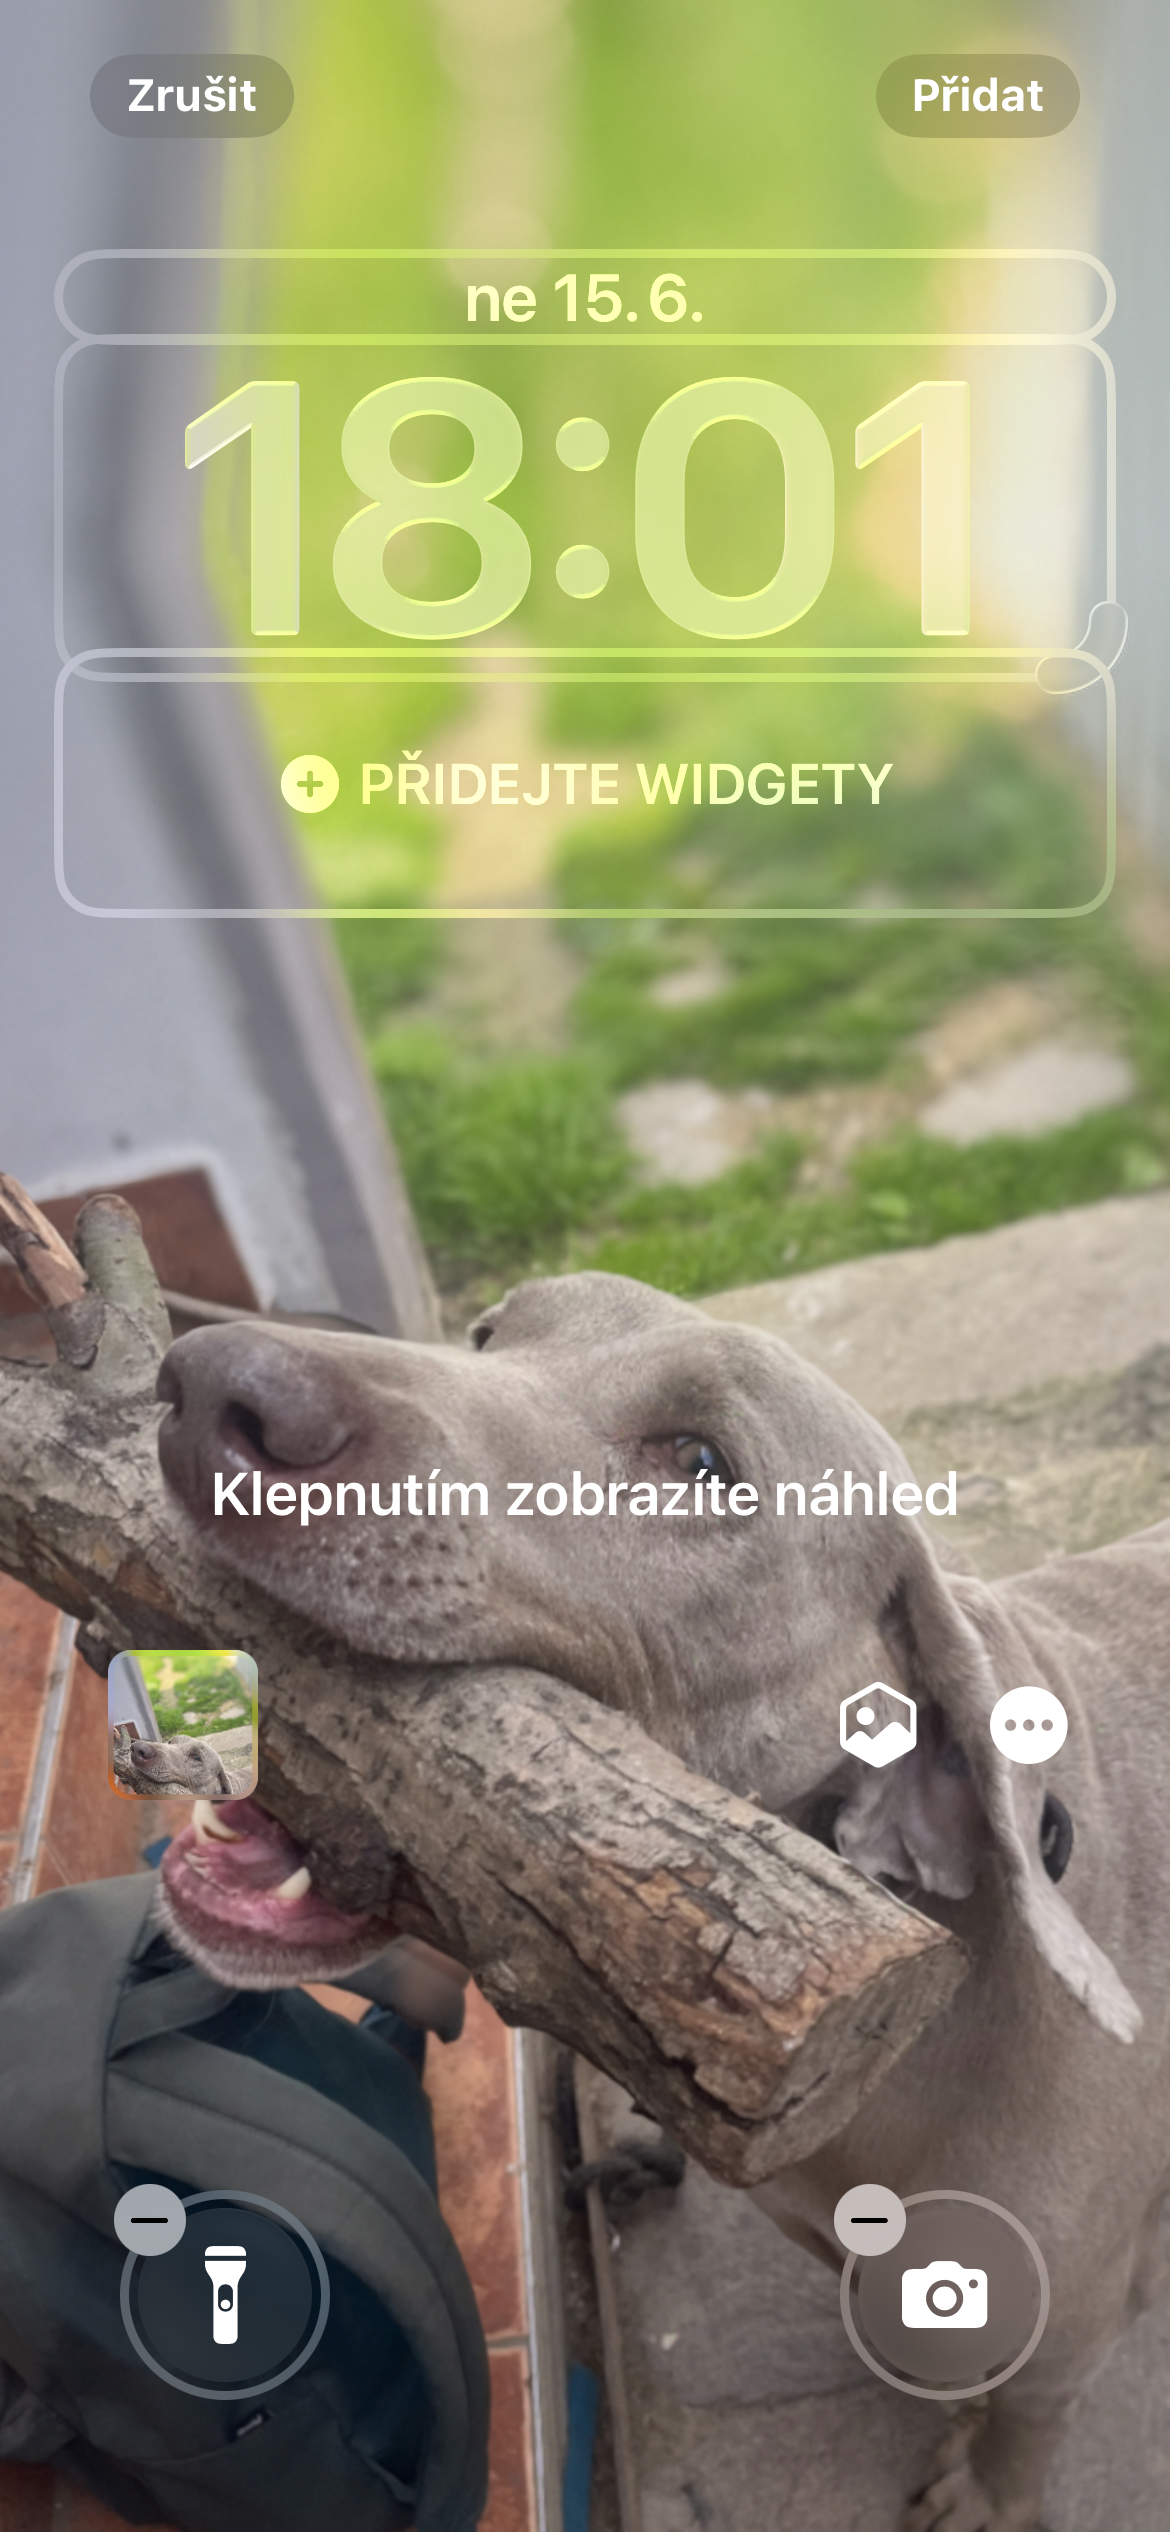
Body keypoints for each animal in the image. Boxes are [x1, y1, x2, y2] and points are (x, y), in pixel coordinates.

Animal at [154, 1269, 1170, 2532]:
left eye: (700, 1460)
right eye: (489, 1332)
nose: (210, 1387)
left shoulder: (1065, 2330)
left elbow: (1024, 2415)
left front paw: (987, 2492)